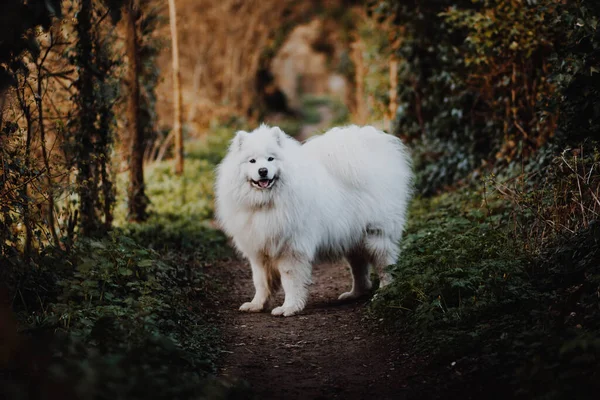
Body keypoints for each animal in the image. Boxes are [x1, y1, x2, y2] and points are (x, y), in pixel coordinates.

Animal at [214, 123, 412, 318]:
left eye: (270, 159)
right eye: (252, 161)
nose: (263, 171)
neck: (266, 203)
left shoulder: (291, 250)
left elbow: (290, 282)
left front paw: (289, 307)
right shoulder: (259, 251)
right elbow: (260, 281)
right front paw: (256, 304)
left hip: (376, 236)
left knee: (384, 266)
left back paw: (384, 293)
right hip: (352, 237)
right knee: (359, 267)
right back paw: (355, 294)